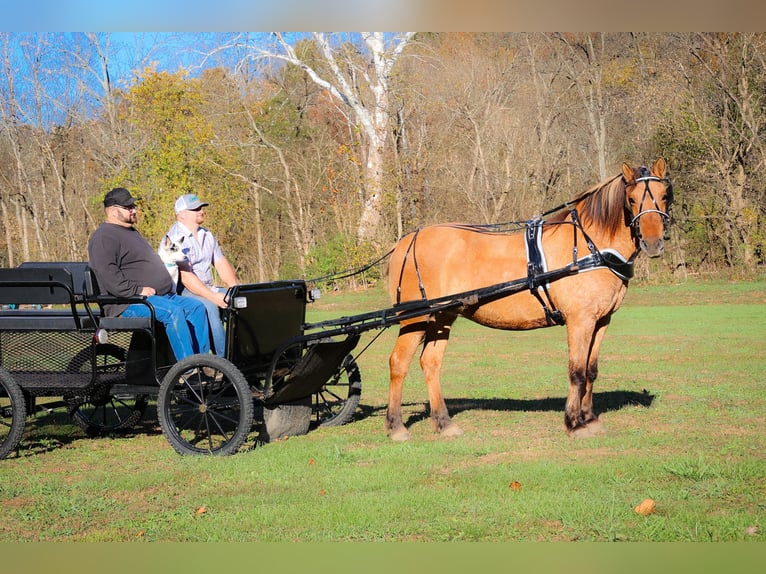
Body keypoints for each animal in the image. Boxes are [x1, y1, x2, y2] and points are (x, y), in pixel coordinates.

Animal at [385, 158, 672, 441]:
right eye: (632, 199)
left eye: (664, 195)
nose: (653, 243)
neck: (589, 247)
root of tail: (406, 241)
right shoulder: (580, 321)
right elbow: (577, 372)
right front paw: (574, 423)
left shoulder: (601, 320)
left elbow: (591, 371)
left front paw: (590, 418)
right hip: (415, 319)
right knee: (398, 362)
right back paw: (396, 426)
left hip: (443, 316)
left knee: (430, 363)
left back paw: (444, 423)